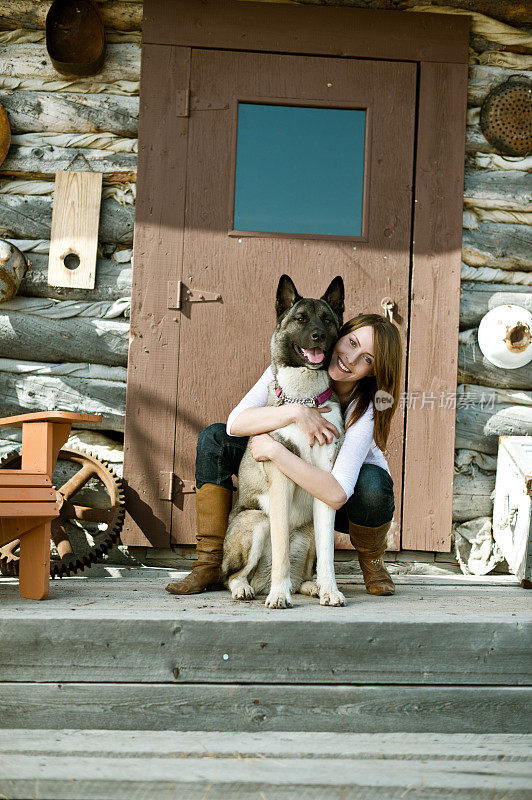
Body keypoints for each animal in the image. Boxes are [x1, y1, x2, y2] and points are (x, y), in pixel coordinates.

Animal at [220, 272, 344, 608]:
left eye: (327, 320)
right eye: (300, 319)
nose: (318, 336)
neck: (305, 400)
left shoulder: (326, 482)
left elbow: (328, 554)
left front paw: (330, 590)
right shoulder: (280, 481)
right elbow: (280, 551)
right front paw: (279, 595)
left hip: (308, 531)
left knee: (302, 572)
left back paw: (311, 587)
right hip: (257, 521)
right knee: (231, 576)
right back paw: (249, 588)